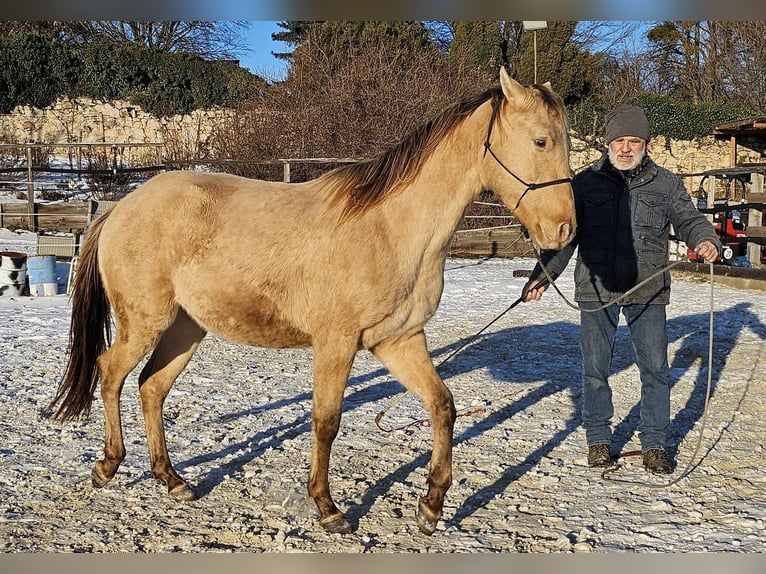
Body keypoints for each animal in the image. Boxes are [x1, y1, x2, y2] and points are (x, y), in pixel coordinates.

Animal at [45, 67, 575, 536]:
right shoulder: (336, 342)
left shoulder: (399, 341)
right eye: (541, 142)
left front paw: (431, 507)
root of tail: (121, 208)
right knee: (110, 372)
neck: (391, 229)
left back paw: (173, 481)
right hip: (146, 322)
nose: (565, 230)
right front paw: (327, 508)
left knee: (152, 387)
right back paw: (108, 466)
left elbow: (442, 407)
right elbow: (326, 421)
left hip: (186, 327)